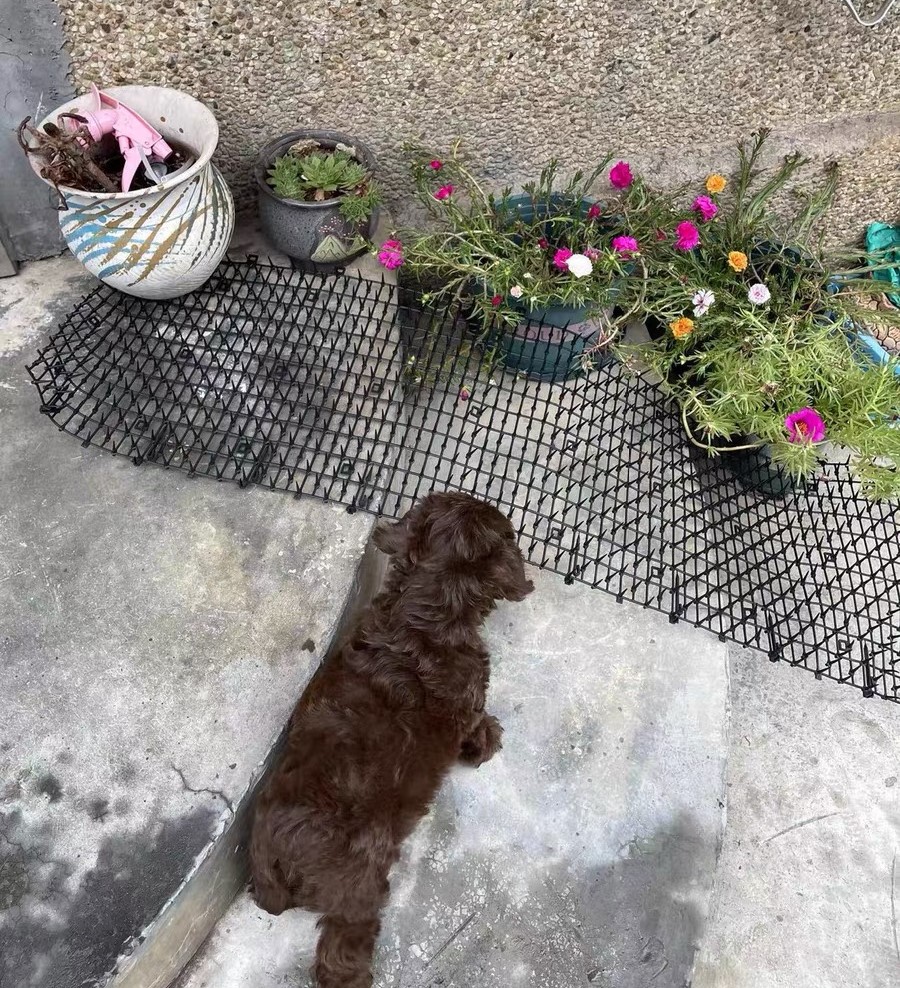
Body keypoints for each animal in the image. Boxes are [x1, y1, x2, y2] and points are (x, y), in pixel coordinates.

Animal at [250, 490, 532, 984]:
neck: (422, 612)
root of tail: (277, 851)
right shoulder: (469, 702)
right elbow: (477, 726)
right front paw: (489, 741)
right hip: (359, 890)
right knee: (339, 953)